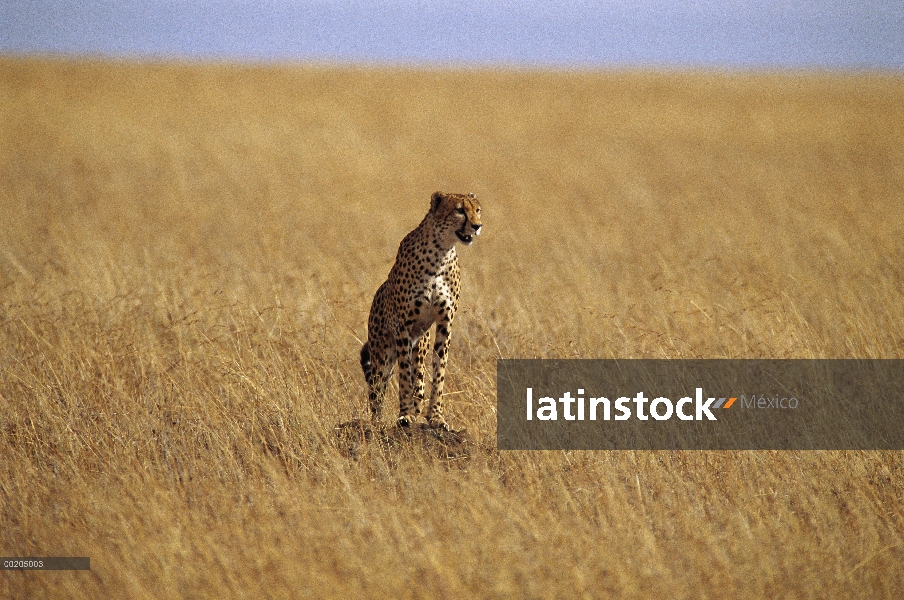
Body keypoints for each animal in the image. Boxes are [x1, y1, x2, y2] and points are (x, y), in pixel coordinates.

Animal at [362, 190, 484, 428]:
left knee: (418, 379)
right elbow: (403, 375)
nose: (477, 225)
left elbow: (439, 371)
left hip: (420, 344)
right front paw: (405, 414)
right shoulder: (403, 325)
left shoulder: (445, 322)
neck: (441, 253)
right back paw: (378, 422)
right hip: (382, 353)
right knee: (377, 391)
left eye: (477, 209)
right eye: (459, 210)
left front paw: (436, 416)